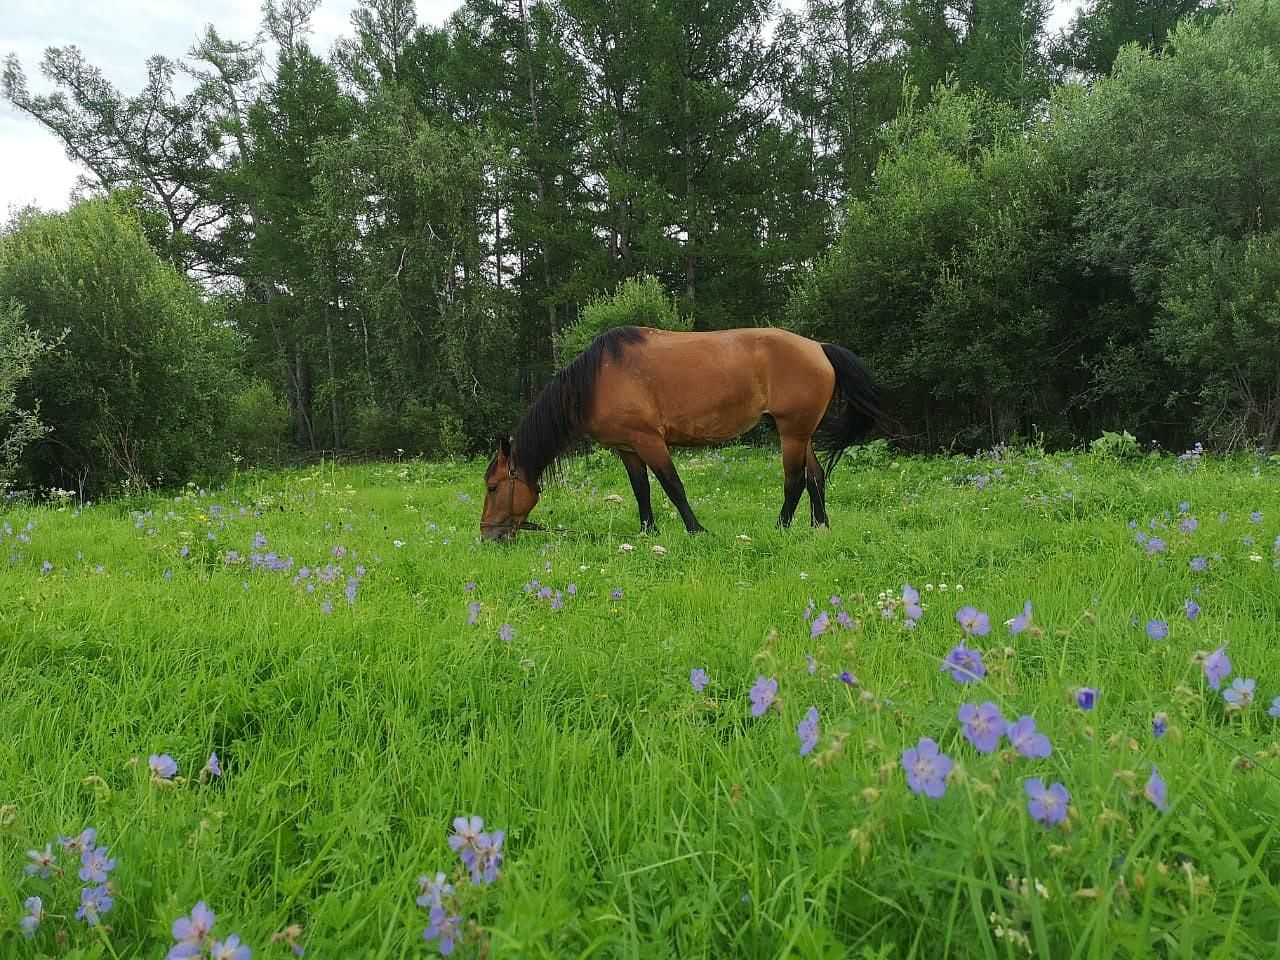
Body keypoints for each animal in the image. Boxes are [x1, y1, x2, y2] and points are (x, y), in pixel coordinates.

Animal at [478, 327, 880, 542]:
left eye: (493, 487)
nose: (487, 535)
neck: (595, 382)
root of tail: (818, 348)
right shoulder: (627, 448)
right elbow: (641, 489)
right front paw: (647, 532)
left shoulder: (650, 441)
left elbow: (673, 486)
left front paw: (696, 530)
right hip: (802, 432)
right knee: (815, 477)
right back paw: (819, 527)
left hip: (792, 432)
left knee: (795, 481)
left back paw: (781, 527)